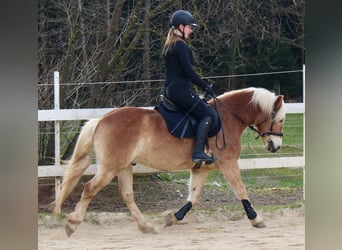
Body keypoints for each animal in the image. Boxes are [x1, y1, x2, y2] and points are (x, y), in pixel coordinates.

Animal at [51, 87, 286, 236]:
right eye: (281, 119)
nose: (275, 146)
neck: (228, 119)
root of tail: (101, 119)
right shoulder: (228, 164)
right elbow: (241, 191)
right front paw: (256, 219)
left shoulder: (200, 169)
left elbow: (194, 197)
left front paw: (173, 218)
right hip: (110, 167)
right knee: (90, 188)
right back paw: (72, 224)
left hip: (123, 166)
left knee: (127, 195)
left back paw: (146, 226)